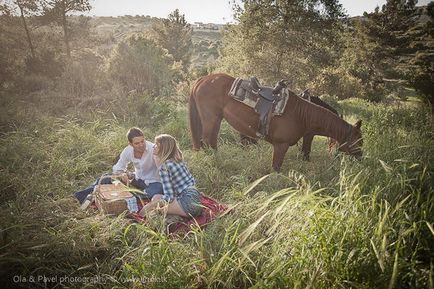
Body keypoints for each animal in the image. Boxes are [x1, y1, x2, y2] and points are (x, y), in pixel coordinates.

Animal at [190, 73, 362, 170]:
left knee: (211, 141)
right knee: (207, 140)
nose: (361, 157)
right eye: (359, 140)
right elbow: (276, 169)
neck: (302, 114)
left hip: (216, 119)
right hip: (210, 119)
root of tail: (203, 79)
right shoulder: (281, 146)